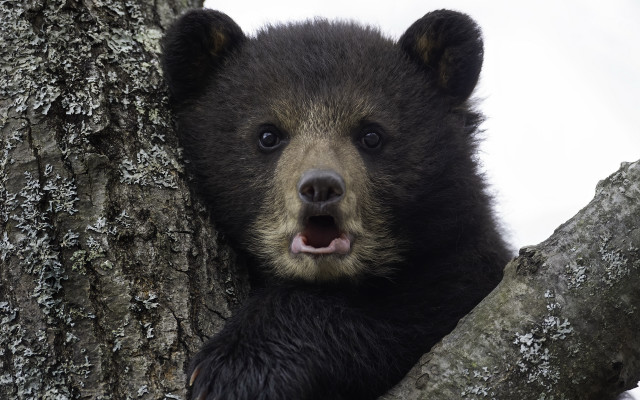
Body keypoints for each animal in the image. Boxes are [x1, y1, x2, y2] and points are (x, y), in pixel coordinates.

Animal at [161, 8, 511, 400]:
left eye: (371, 134)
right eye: (268, 135)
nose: (320, 187)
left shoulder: (462, 262)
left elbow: (421, 310)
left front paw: (234, 368)